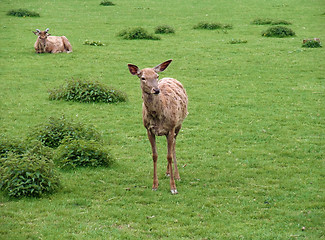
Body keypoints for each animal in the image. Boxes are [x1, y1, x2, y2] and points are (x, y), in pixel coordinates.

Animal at [127, 60, 187, 195]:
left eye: (156, 76)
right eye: (143, 77)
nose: (156, 90)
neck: (157, 114)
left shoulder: (171, 128)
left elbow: (169, 156)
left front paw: (173, 188)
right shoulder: (148, 130)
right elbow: (154, 155)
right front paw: (155, 185)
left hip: (178, 125)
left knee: (173, 146)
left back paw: (177, 175)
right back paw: (167, 172)